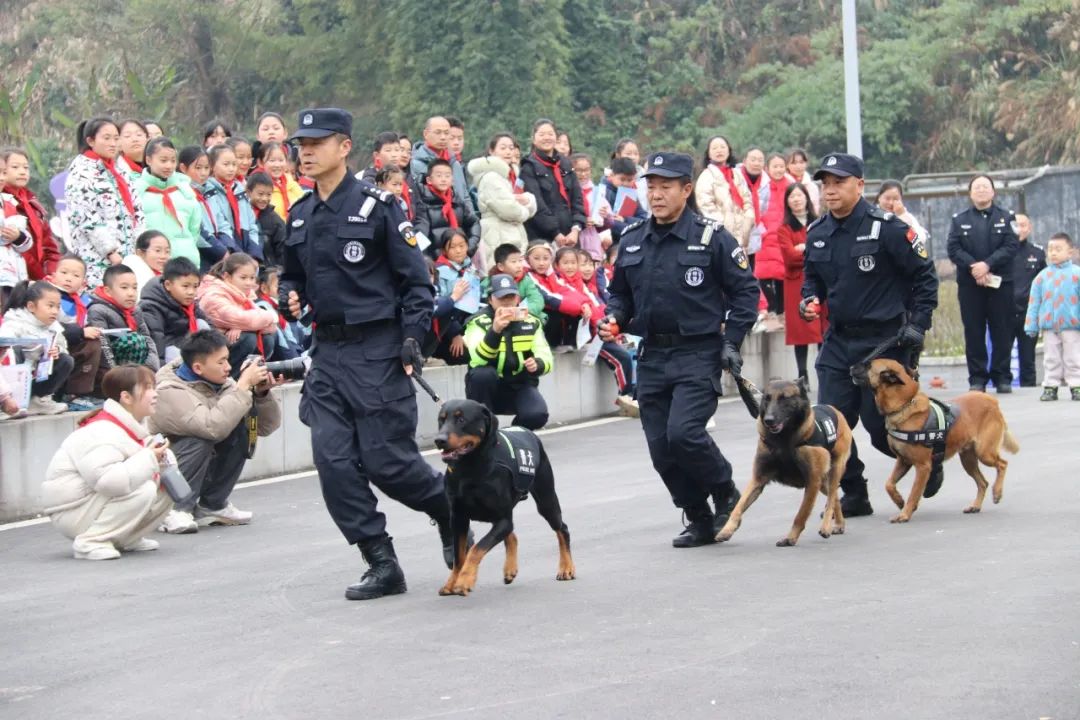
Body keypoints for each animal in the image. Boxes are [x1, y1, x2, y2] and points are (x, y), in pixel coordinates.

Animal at [434, 399, 578, 595]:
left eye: (461, 419)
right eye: (441, 420)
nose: (439, 440)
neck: (470, 468)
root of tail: (527, 430)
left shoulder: (502, 517)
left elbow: (477, 549)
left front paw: (465, 580)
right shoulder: (458, 518)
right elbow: (459, 556)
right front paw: (452, 581)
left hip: (546, 498)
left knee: (562, 529)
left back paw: (566, 568)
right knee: (512, 535)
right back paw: (510, 569)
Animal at [864, 360, 1015, 524]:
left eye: (867, 366)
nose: (852, 367)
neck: (905, 404)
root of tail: (991, 400)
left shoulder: (922, 467)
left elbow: (914, 492)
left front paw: (905, 514)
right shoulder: (903, 461)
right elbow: (889, 484)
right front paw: (899, 501)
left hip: (984, 453)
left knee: (1002, 464)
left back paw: (997, 492)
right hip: (968, 460)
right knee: (983, 482)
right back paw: (975, 506)